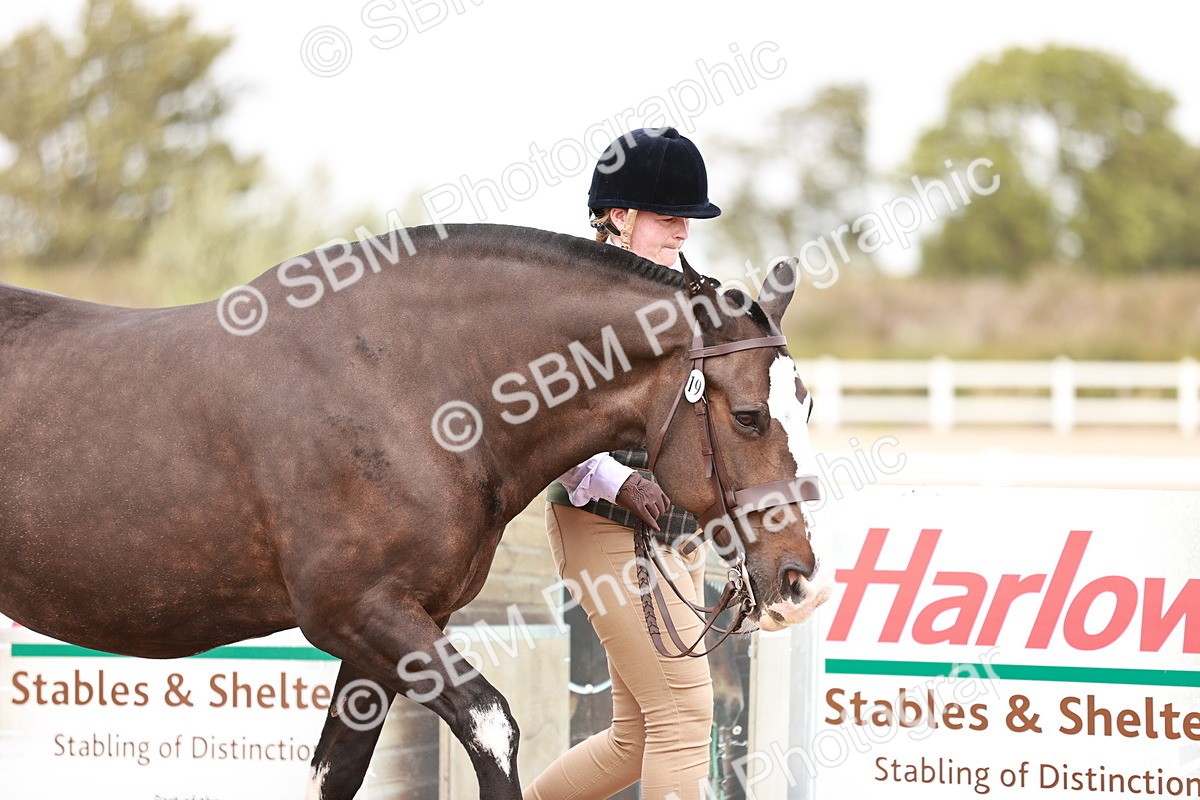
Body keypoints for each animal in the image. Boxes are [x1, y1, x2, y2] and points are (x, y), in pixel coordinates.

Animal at [0, 223, 832, 799]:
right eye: (750, 417)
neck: (410, 385)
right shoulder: (359, 613)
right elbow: (493, 728)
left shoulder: (391, 631)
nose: (800, 581)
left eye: (811, 406)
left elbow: (334, 774)